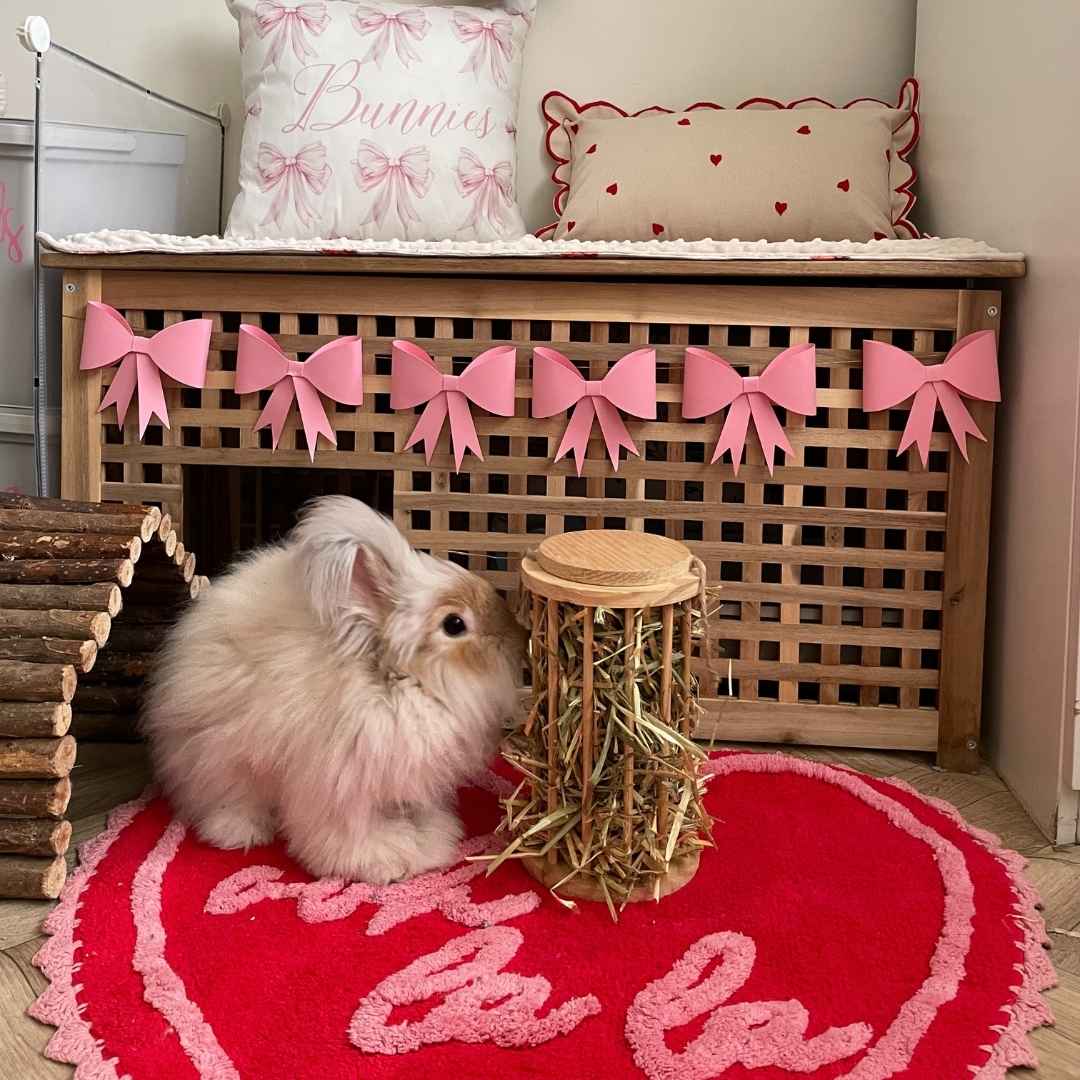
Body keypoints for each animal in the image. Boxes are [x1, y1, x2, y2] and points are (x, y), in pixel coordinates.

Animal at [143, 496, 527, 885]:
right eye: (455, 624)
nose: (516, 635)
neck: (393, 681)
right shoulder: (337, 786)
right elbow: (348, 834)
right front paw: (381, 861)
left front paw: (432, 840)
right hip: (219, 762)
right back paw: (241, 832)